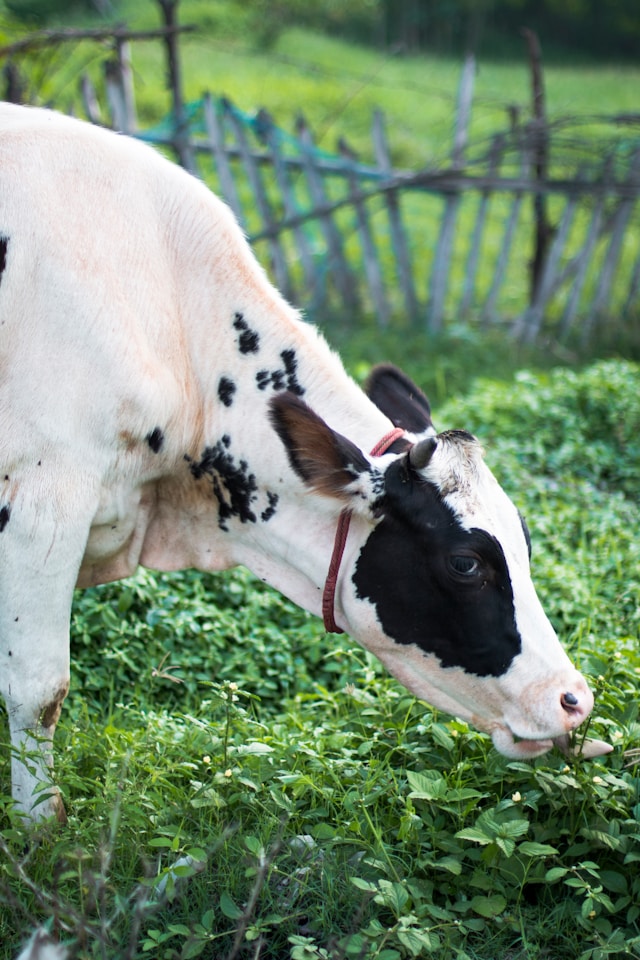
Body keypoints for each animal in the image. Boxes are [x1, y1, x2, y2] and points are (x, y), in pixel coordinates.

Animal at [0, 105, 608, 824]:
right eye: (466, 564)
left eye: (525, 541)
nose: (573, 699)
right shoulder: (42, 508)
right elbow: (39, 689)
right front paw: (40, 833)